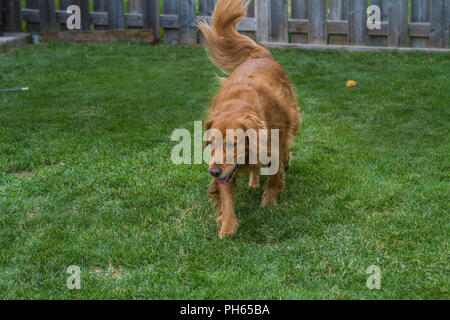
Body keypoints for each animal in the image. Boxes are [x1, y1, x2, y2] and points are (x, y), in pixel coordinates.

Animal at [198, 0, 300, 239]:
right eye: (211, 143)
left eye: (232, 144)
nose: (213, 171)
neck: (240, 104)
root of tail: (261, 54)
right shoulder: (226, 169)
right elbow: (226, 196)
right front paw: (227, 227)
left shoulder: (274, 144)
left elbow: (274, 176)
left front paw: (269, 203)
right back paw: (253, 181)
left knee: (288, 144)